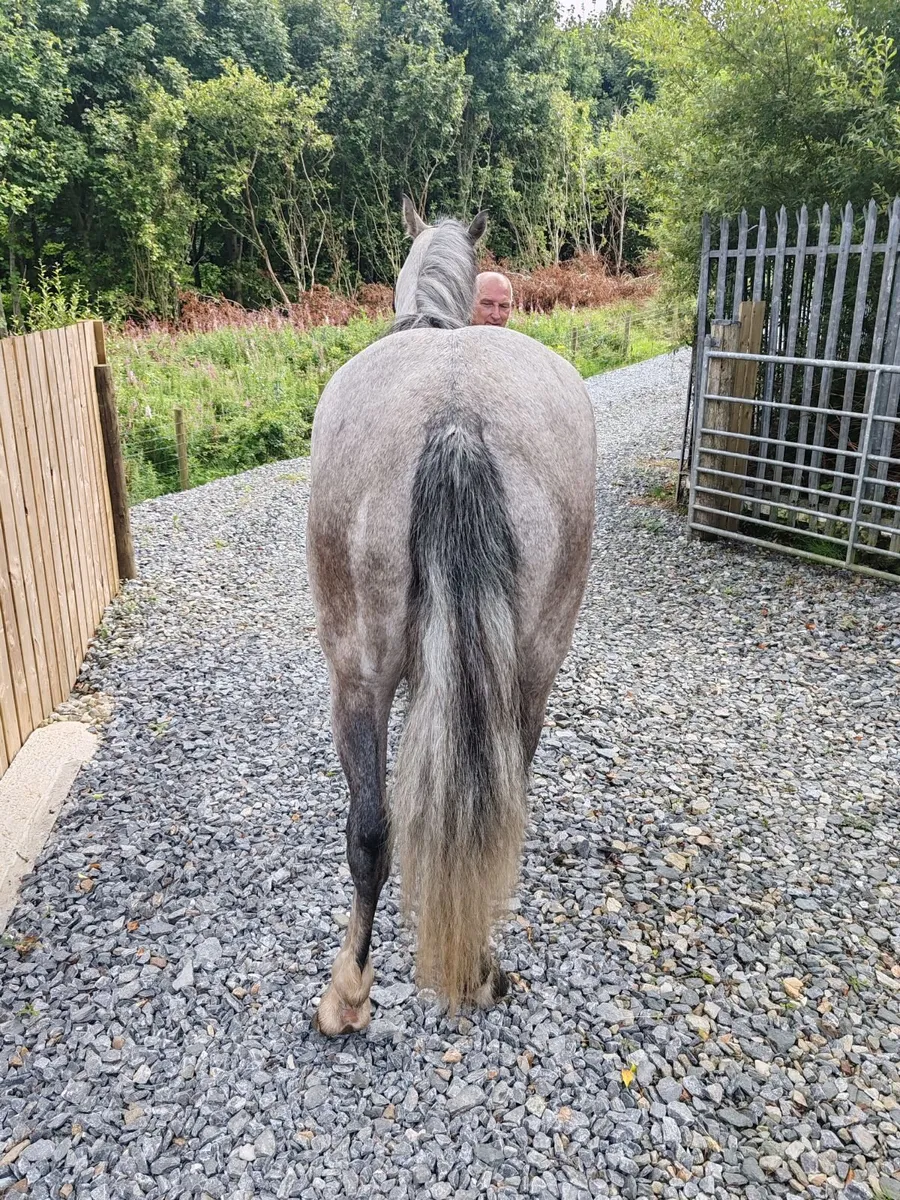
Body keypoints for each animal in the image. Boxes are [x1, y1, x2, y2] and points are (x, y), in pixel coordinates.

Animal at [307, 197, 596, 1035]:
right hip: (531, 667)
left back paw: (348, 993)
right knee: (497, 810)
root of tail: (458, 412)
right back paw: (482, 967)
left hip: (356, 671)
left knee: (370, 831)